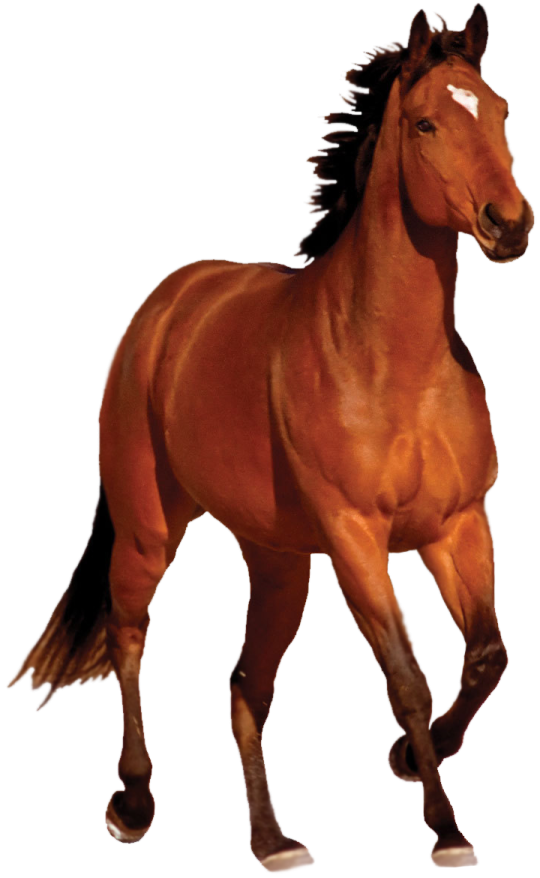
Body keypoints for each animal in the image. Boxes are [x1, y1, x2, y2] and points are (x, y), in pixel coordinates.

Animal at [7, 3, 535, 870]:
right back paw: (135, 802)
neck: (391, 360)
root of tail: (165, 307)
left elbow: (489, 655)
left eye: (499, 111)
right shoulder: (356, 537)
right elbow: (408, 676)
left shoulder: (457, 525)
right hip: (150, 530)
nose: (510, 224)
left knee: (245, 686)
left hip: (279, 561)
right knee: (129, 637)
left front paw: (408, 760)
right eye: (426, 123)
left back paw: (272, 841)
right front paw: (446, 829)